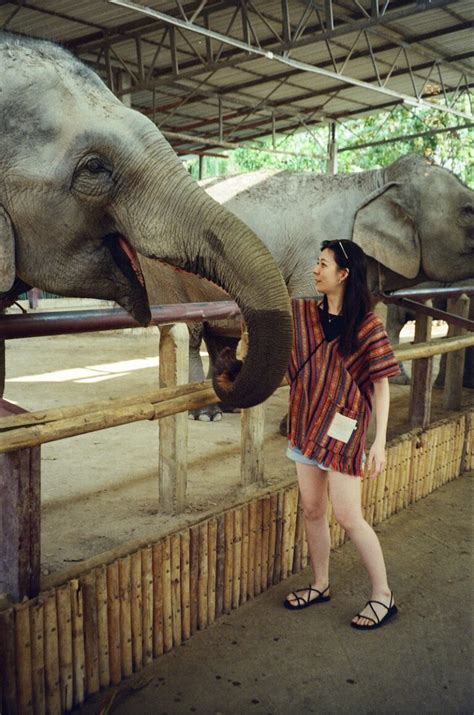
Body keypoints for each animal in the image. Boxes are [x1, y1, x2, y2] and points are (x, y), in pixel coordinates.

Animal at [141, 156, 474, 422]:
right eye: (469, 211)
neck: (375, 180)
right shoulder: (313, 266)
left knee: (220, 337)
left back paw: (229, 405)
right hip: (166, 273)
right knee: (190, 332)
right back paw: (206, 414)